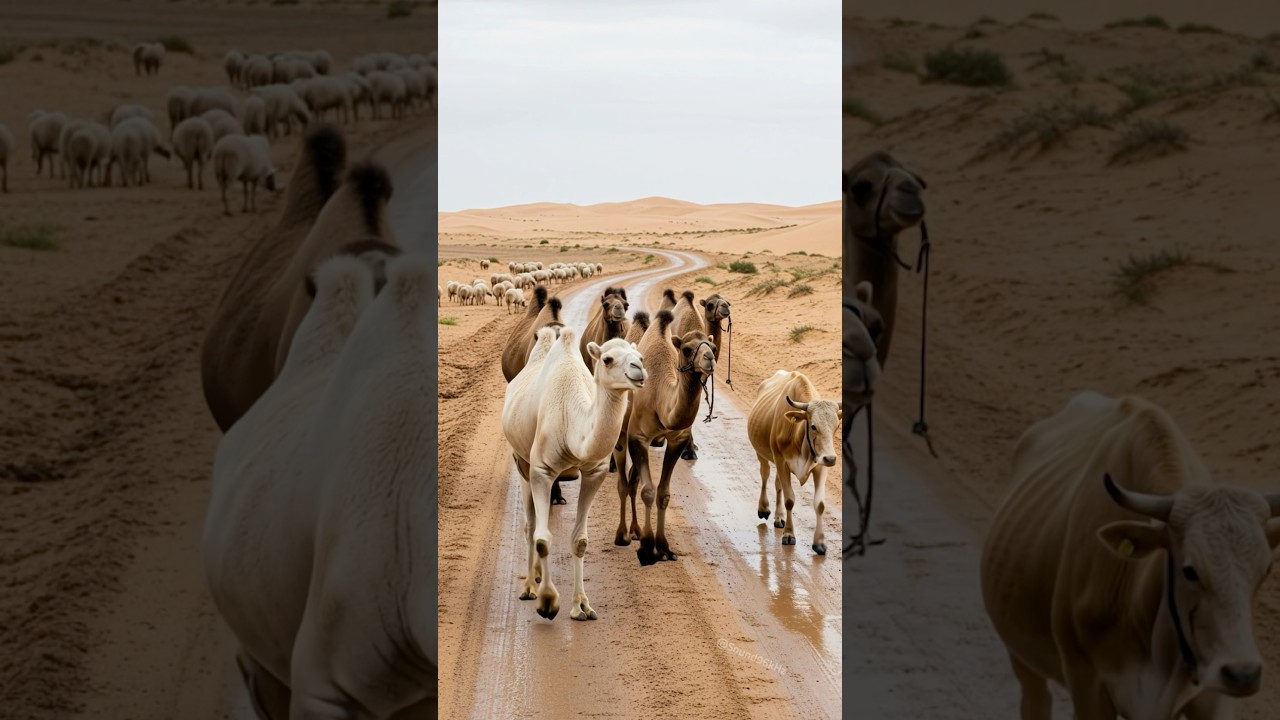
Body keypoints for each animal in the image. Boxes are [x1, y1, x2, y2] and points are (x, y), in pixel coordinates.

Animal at [502, 327, 646, 620]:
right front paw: (547, 602)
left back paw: (537, 577)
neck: (571, 424)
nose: (639, 370)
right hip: (522, 462)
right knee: (531, 525)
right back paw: (529, 586)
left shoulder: (594, 472)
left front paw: (581, 605)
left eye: (640, 357)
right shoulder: (542, 470)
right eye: (608, 359)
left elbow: (579, 541)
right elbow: (542, 539)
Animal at [611, 310, 717, 563]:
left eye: (714, 346)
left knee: (632, 481)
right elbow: (648, 491)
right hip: (621, 436)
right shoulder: (637, 437)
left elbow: (663, 494)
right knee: (623, 483)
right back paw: (623, 535)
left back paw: (636, 531)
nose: (709, 358)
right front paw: (648, 549)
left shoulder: (676, 441)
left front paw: (664, 548)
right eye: (687, 349)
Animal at [746, 370, 841, 555]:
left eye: (836, 426)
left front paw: (819, 542)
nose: (831, 458)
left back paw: (779, 517)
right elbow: (790, 499)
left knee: (777, 485)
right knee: (765, 476)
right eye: (813, 426)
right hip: (762, 455)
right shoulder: (782, 462)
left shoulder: (820, 466)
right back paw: (764, 508)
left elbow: (819, 504)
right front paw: (789, 534)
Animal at [980, 391, 1280, 720]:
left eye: (1265, 570)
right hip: (1021, 656)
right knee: (1036, 700)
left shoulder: (1211, 696)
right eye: (1189, 570)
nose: (1243, 674)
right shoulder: (1087, 683)